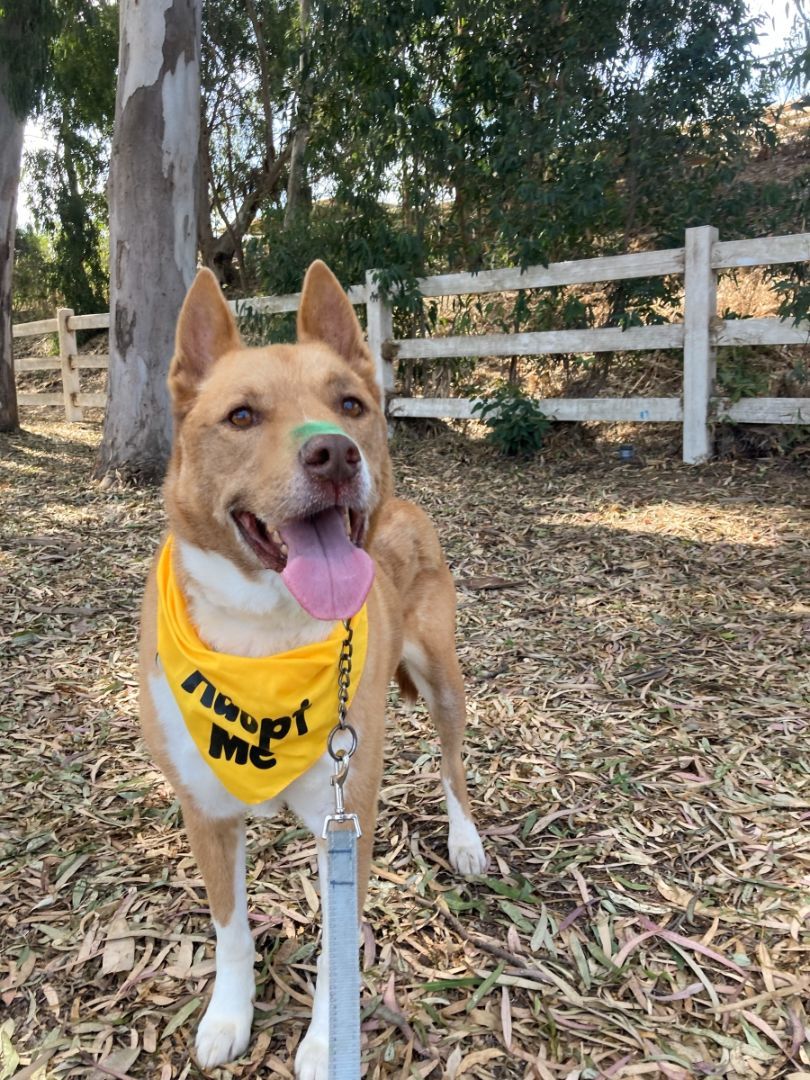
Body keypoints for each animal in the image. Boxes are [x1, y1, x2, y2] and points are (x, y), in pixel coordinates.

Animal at [138, 263, 488, 1080]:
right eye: (240, 416)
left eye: (351, 405)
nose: (335, 454)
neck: (264, 640)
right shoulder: (207, 812)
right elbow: (231, 930)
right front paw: (229, 1016)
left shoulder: (344, 812)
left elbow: (337, 943)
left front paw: (329, 1043)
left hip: (443, 682)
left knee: (453, 764)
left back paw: (466, 840)